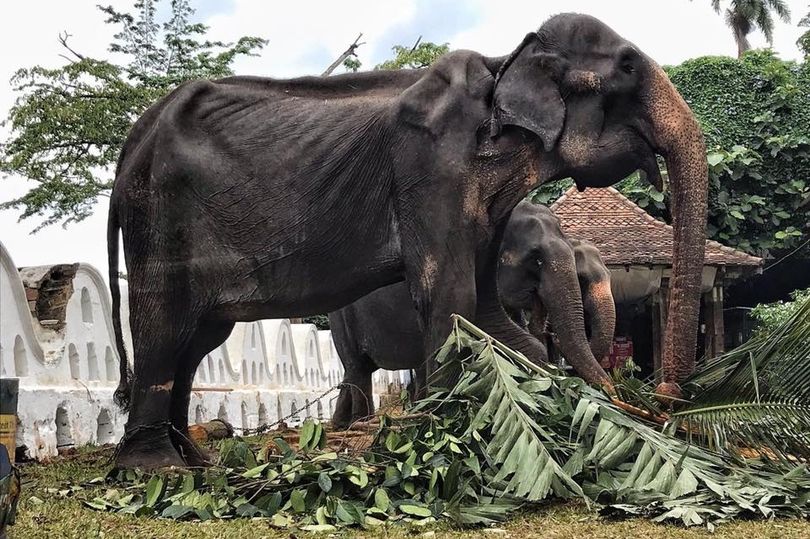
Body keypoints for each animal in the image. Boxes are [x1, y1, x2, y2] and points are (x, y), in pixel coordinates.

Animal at [326, 200, 616, 428]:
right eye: (536, 259)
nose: (615, 394)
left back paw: (342, 424)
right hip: (341, 317)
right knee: (358, 368)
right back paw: (362, 424)